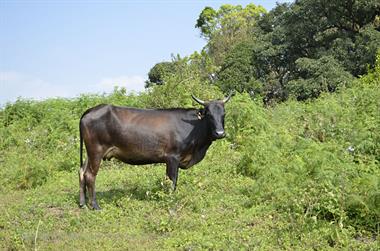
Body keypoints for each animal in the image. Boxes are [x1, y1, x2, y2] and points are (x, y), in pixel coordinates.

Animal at [78, 93, 230, 209]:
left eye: (224, 113)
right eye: (208, 114)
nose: (220, 133)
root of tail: (91, 110)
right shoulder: (172, 157)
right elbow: (172, 181)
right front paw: (170, 201)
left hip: (89, 153)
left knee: (82, 172)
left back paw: (82, 204)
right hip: (96, 151)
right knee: (90, 176)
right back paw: (95, 206)